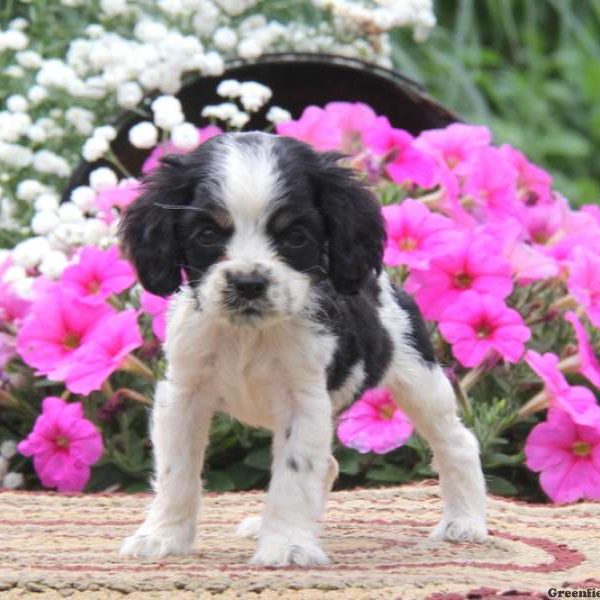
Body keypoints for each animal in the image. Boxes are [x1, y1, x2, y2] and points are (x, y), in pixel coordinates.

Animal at [118, 131, 488, 568]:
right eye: (207, 235)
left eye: (295, 237)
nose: (248, 283)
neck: (250, 335)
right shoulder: (183, 396)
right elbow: (177, 472)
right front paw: (162, 537)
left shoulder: (304, 400)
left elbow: (294, 474)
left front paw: (287, 547)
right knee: (328, 465)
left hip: (420, 381)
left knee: (457, 444)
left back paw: (465, 522)